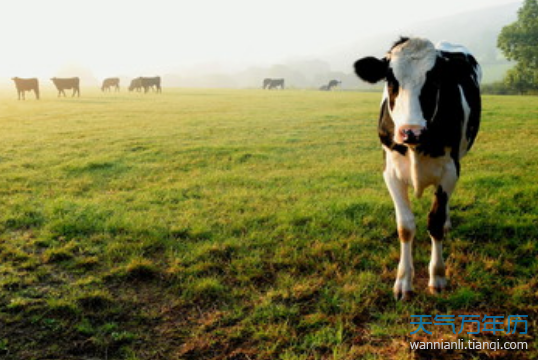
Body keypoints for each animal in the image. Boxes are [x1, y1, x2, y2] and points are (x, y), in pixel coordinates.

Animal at [352, 37, 482, 300]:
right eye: (391, 80)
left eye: (435, 80)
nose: (411, 131)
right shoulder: (391, 172)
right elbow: (405, 227)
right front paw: (403, 281)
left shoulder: (450, 170)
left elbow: (435, 221)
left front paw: (438, 277)